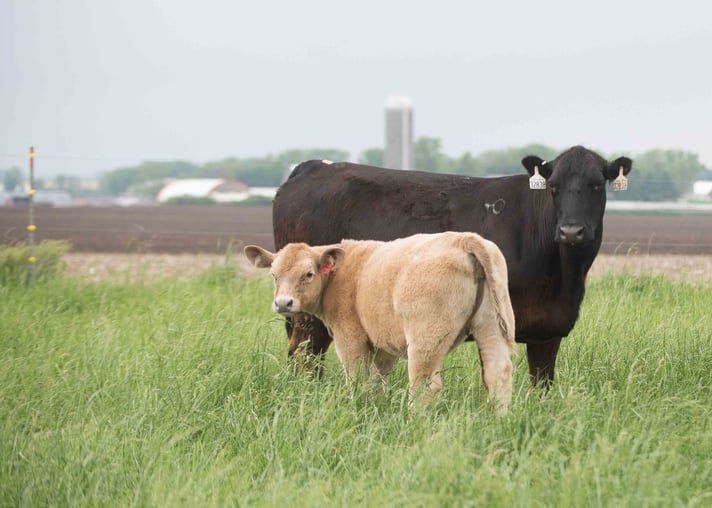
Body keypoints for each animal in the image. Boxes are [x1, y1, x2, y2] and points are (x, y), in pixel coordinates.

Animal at [244, 231, 517, 412]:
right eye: (274, 275)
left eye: (308, 274)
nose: (283, 303)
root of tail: (463, 240)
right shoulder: (383, 346)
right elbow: (378, 381)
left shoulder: (350, 339)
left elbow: (357, 378)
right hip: (491, 325)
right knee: (497, 374)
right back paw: (499, 418)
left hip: (426, 339)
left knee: (424, 385)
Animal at [272, 145, 633, 386]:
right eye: (554, 187)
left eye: (596, 185)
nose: (571, 230)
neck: (564, 276)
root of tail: (313, 166)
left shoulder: (548, 328)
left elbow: (542, 382)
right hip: (304, 309)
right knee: (306, 353)